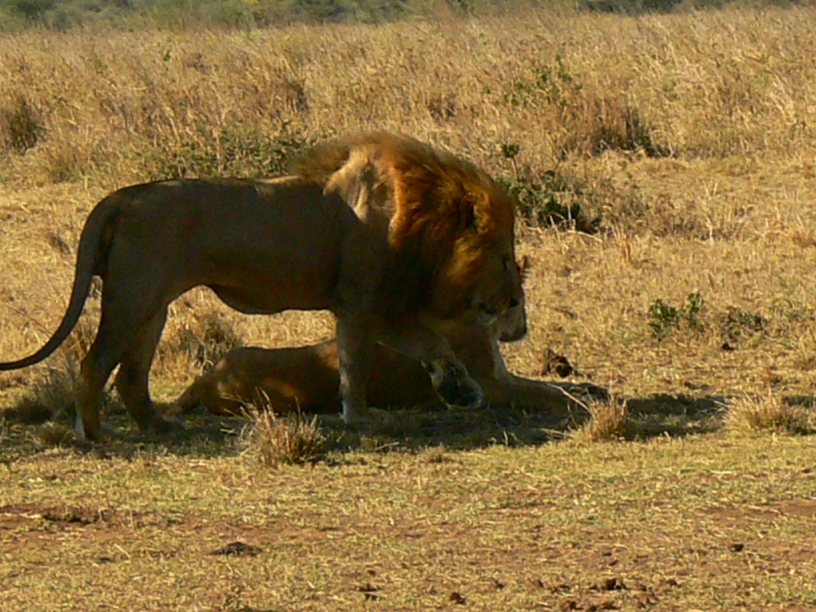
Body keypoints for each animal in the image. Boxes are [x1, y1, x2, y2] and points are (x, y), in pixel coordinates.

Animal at [0, 132, 523, 441]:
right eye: (505, 258)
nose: (518, 321)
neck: (420, 223)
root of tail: (122, 197)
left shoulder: (382, 306)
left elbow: (431, 344)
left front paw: (461, 386)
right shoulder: (357, 301)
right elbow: (356, 363)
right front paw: (361, 418)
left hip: (153, 304)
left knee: (131, 374)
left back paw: (159, 425)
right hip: (133, 296)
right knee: (94, 363)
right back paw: (93, 434)